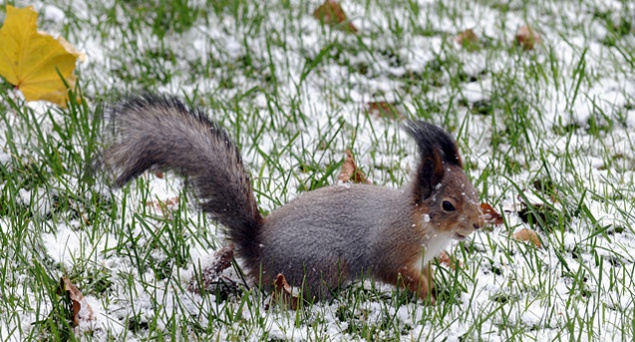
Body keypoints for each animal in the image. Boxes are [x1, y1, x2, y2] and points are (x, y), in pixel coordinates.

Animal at [102, 93, 484, 302]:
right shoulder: (391, 251)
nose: (480, 223)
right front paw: (427, 298)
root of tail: (256, 247)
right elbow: (398, 274)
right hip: (323, 265)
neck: (421, 223)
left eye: (474, 192)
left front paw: (435, 291)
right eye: (448, 205)